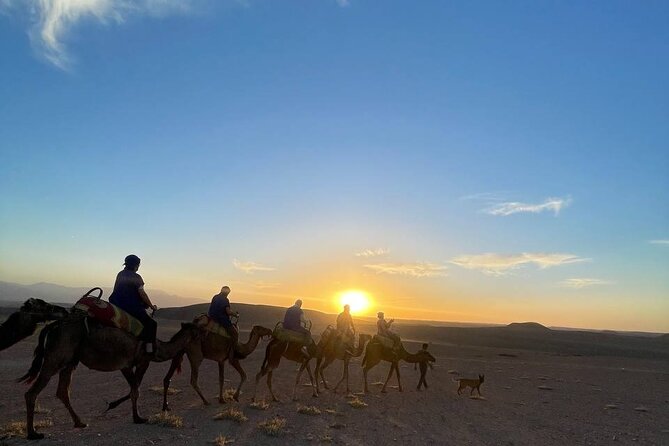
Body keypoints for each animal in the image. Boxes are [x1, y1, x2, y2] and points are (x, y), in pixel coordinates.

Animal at [17, 316, 200, 440]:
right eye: (199, 328)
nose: (203, 333)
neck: (158, 347)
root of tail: (51, 327)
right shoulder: (134, 362)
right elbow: (135, 390)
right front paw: (138, 418)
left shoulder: (131, 364)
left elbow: (134, 389)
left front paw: (121, 408)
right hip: (55, 359)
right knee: (32, 392)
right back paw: (33, 433)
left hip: (70, 362)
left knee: (63, 391)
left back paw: (80, 422)